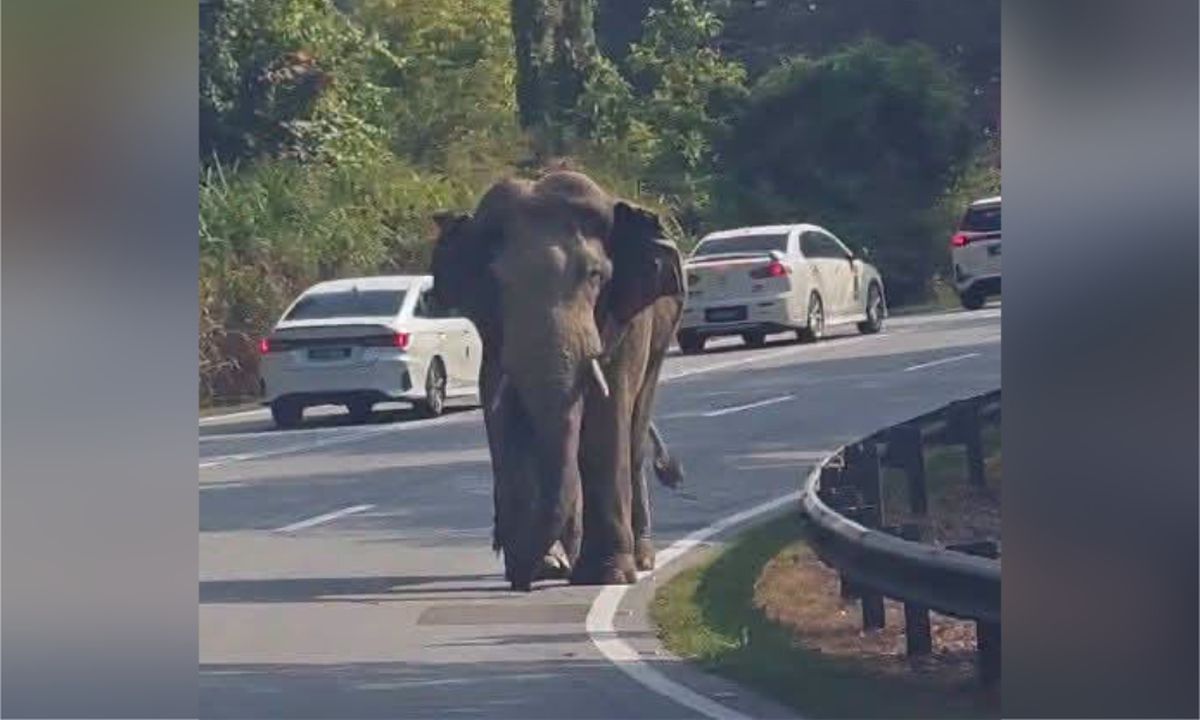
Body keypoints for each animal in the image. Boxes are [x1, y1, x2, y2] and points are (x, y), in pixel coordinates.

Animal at [430, 170, 686, 590]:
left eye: (595, 276)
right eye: (496, 282)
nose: (519, 579)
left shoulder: (627, 321)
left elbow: (606, 415)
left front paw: (606, 575)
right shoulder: (494, 335)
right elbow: (504, 415)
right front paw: (548, 567)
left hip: (663, 336)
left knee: (633, 430)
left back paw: (642, 559)